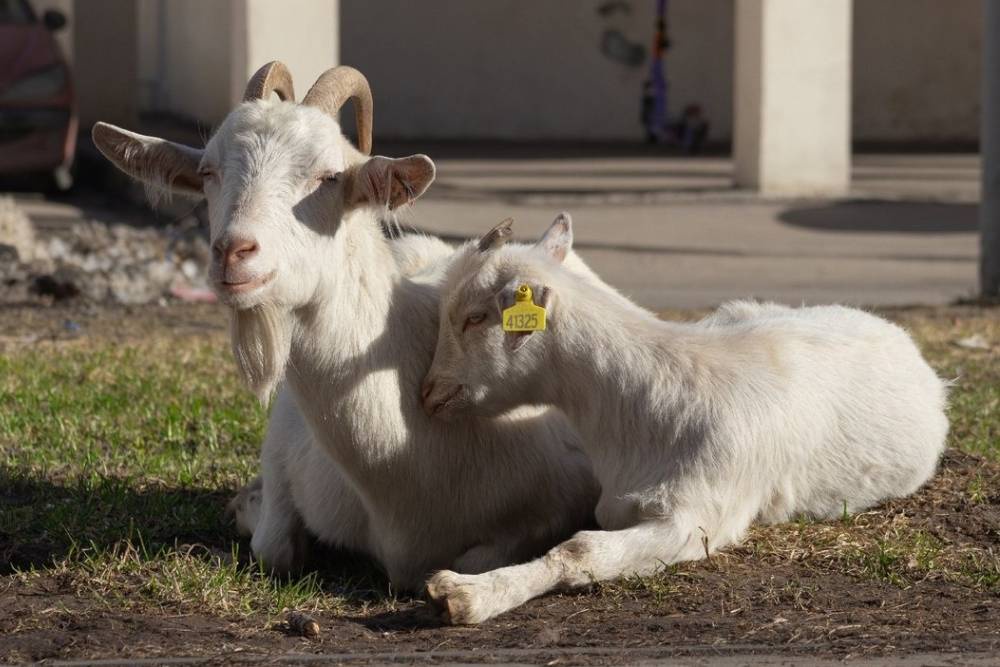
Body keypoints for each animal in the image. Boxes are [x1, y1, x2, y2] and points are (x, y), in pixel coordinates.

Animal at [92, 61, 600, 584]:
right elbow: (272, 547)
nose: (233, 252)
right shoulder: (286, 447)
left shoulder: (561, 497)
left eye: (330, 176)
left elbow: (477, 558)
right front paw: (249, 508)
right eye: (208, 172)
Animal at [420, 215, 944, 628]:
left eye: (474, 317)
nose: (428, 392)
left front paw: (467, 594)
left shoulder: (695, 519)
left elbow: (579, 550)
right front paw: (476, 560)